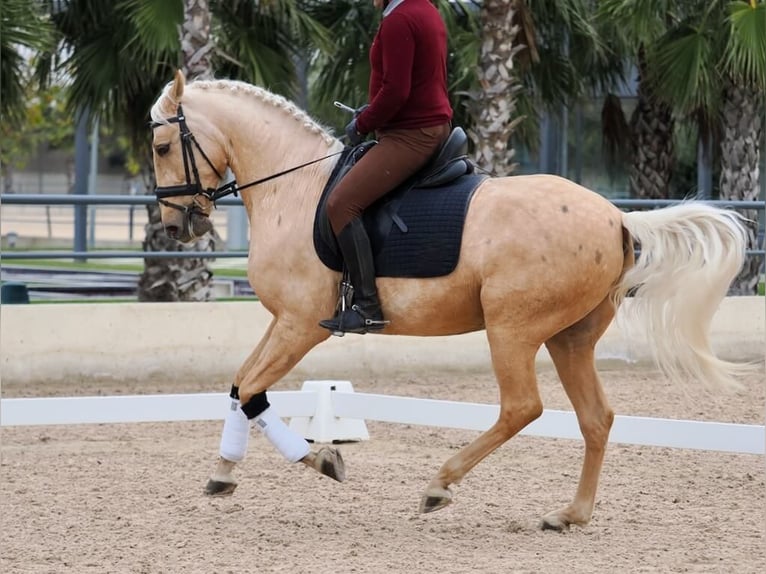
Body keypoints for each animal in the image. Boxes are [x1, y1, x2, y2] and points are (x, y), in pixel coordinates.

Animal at [148, 71, 752, 532]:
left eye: (160, 146)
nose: (177, 226)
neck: (294, 189)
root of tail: (618, 218)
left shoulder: (302, 324)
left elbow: (252, 388)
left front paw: (319, 458)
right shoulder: (284, 322)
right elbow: (240, 386)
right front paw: (227, 471)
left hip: (513, 329)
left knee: (522, 408)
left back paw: (440, 485)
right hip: (569, 338)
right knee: (596, 418)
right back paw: (569, 515)